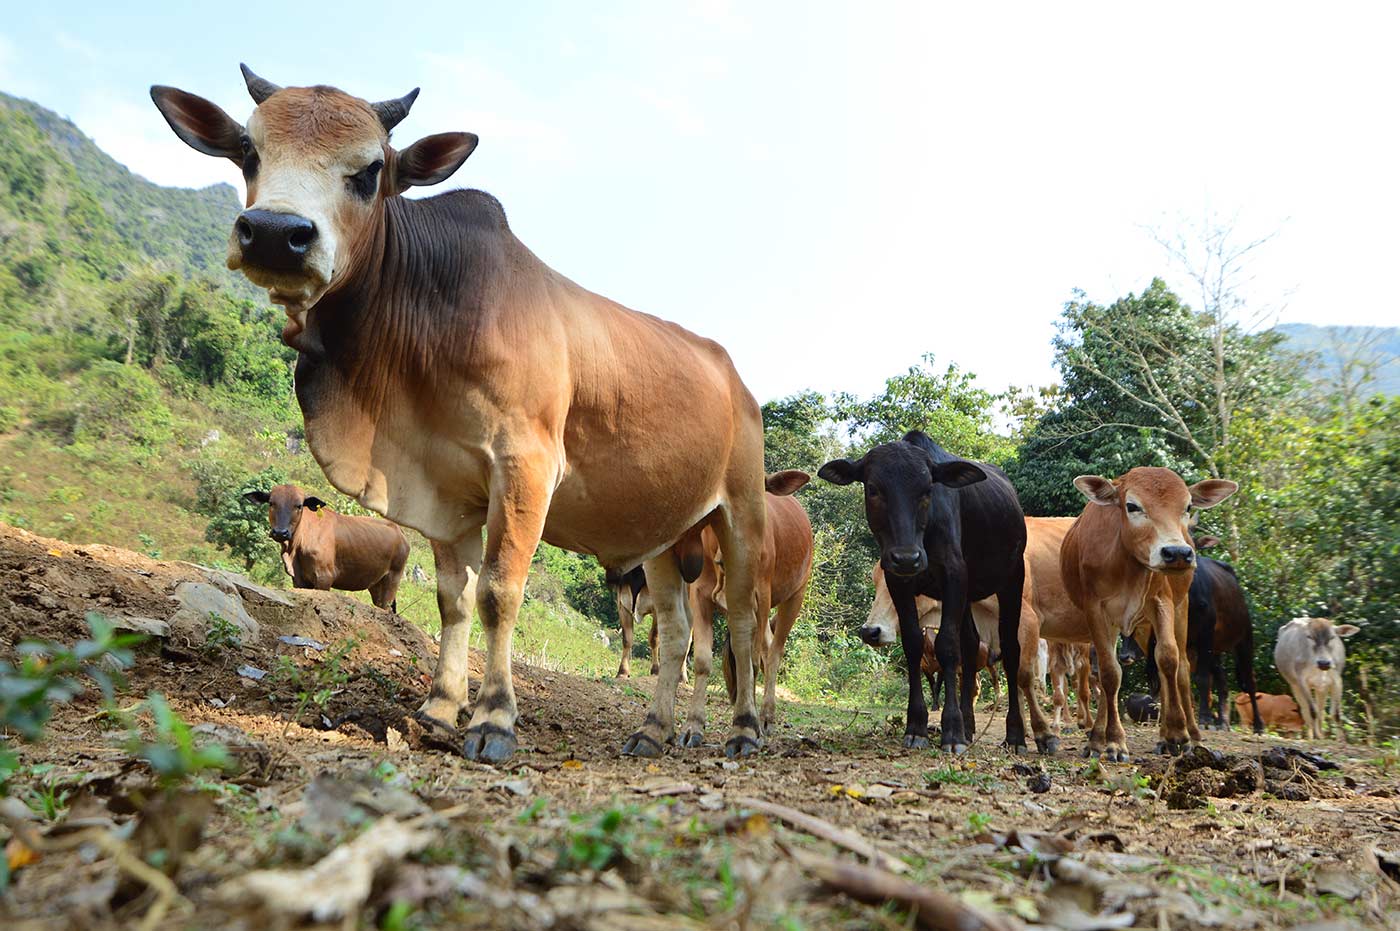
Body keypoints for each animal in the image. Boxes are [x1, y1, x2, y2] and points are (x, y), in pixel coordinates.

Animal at [245, 478, 408, 610]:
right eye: (271, 503)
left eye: (299, 505)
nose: (280, 532)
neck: (293, 550)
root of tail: (400, 533)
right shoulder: (299, 580)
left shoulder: (324, 577)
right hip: (376, 585)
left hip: (392, 579)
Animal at [817, 431, 1030, 750]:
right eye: (873, 489)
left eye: (928, 489)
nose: (907, 558)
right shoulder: (899, 581)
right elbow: (913, 644)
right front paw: (917, 726)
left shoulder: (954, 575)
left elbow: (947, 646)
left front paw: (951, 730)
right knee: (970, 645)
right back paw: (969, 726)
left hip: (1012, 579)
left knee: (1010, 648)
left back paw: (1015, 735)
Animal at [1058, 467, 1237, 761]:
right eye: (1132, 506)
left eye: (1188, 506)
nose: (1177, 553)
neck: (1127, 564)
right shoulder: (1096, 610)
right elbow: (1109, 672)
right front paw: (1111, 741)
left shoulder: (1161, 601)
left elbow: (1168, 659)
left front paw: (1178, 735)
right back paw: (1099, 738)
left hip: (1179, 610)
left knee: (1180, 669)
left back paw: (1188, 734)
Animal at [1120, 548, 1265, 728]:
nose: (1124, 656)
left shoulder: (1205, 634)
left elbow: (1201, 679)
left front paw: (1203, 718)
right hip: (1215, 651)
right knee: (1222, 680)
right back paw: (1223, 722)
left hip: (1243, 640)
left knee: (1249, 681)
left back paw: (1258, 725)